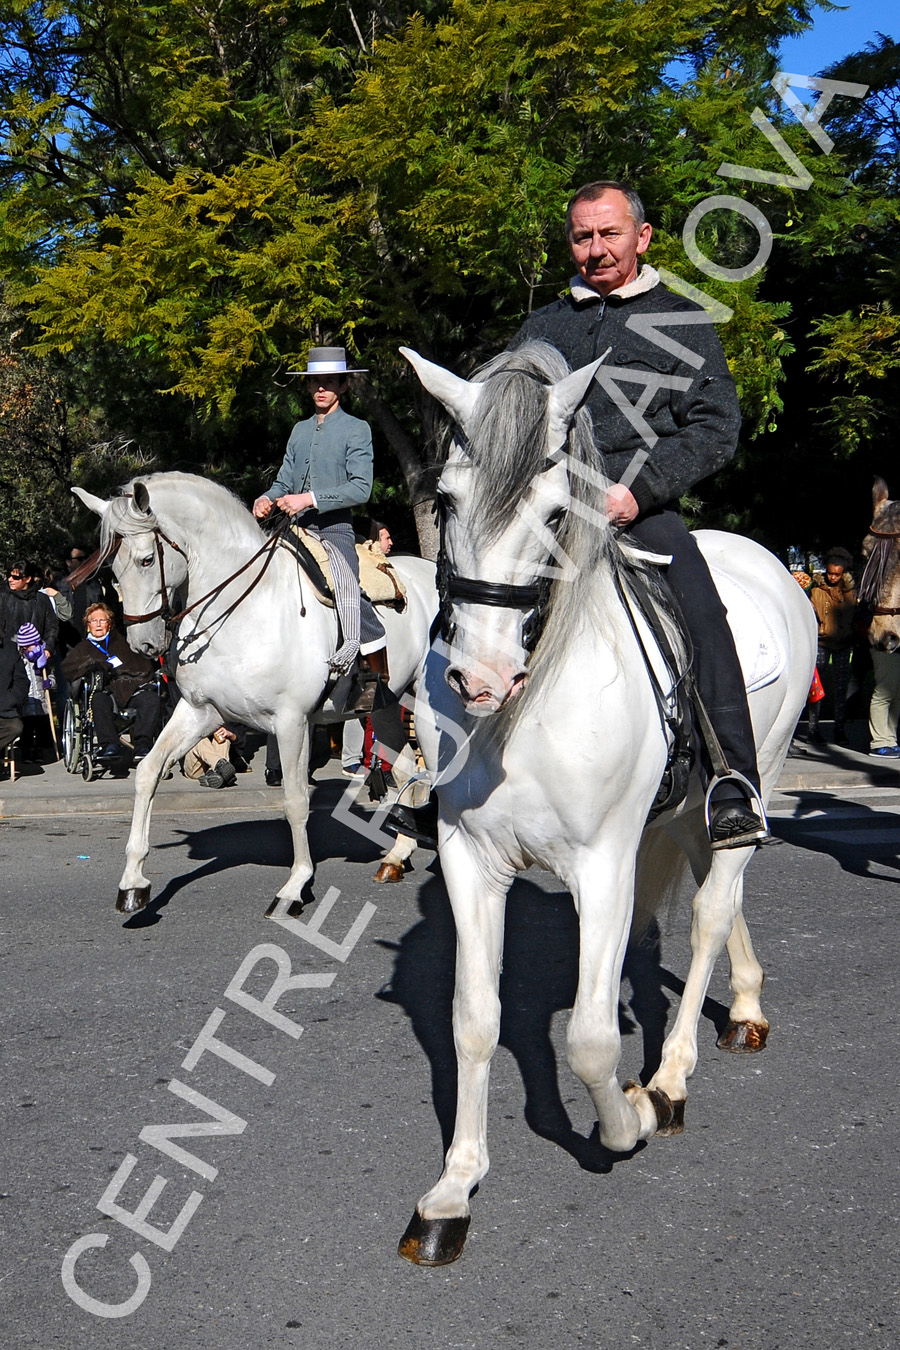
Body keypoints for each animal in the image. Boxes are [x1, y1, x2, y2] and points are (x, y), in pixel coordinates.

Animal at [72, 475, 437, 918]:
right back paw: (397, 856)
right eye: (112, 568)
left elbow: (296, 801)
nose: (142, 645)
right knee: (405, 768)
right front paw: (133, 882)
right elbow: (148, 772)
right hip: (385, 704)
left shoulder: (291, 721)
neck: (241, 610)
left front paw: (295, 886)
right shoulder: (200, 713)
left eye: (145, 561)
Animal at [394, 340, 814, 1263]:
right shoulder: (471, 861)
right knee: (710, 896)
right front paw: (452, 1192)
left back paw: (673, 1077)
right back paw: (747, 1004)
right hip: (682, 813)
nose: (479, 676)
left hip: (750, 779)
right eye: (446, 501)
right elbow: (473, 1018)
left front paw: (627, 1120)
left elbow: (588, 1037)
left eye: (557, 515)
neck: (521, 716)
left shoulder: (603, 865)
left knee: (710, 911)